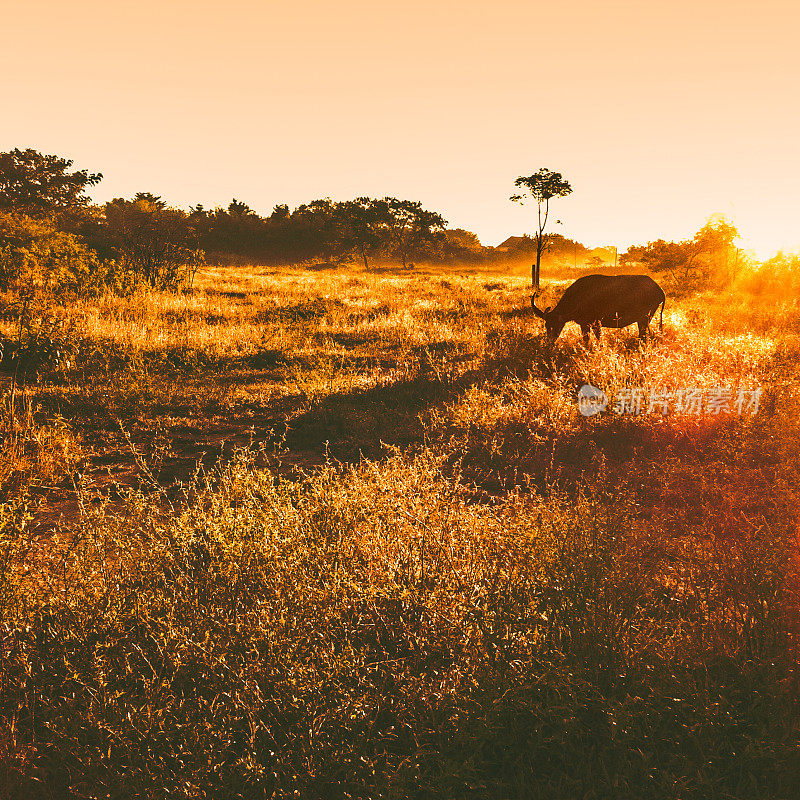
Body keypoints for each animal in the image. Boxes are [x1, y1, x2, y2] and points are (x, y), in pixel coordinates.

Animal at [536, 276, 664, 344]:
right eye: (546, 326)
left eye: (556, 325)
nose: (549, 341)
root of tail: (659, 289)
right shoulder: (586, 324)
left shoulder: (593, 324)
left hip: (644, 319)